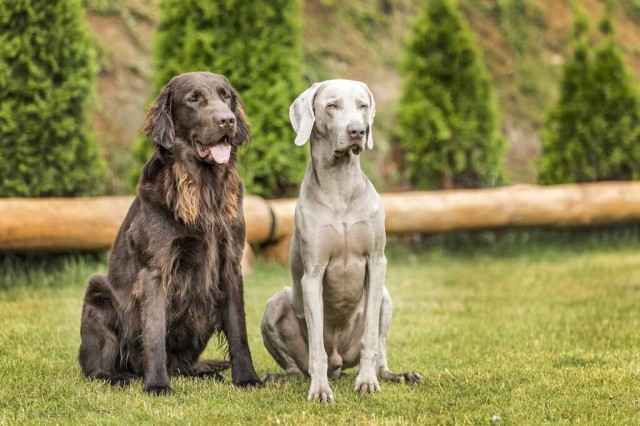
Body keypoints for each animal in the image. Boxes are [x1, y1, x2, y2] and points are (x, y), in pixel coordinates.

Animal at [78, 71, 262, 394]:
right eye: (194, 99)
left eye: (226, 96)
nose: (227, 121)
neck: (203, 190)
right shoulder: (156, 269)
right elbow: (154, 331)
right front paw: (155, 385)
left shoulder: (230, 263)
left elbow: (238, 330)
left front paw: (247, 378)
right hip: (97, 296)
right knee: (94, 369)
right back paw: (121, 377)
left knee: (182, 364)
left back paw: (199, 371)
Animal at [260, 80, 420, 402]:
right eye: (332, 105)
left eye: (363, 106)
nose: (357, 131)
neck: (340, 186)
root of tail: (339, 364)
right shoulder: (313, 273)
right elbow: (316, 350)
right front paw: (320, 390)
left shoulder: (377, 262)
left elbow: (370, 339)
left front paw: (367, 382)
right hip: (273, 306)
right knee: (298, 367)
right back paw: (281, 378)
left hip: (385, 299)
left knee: (379, 349)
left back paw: (397, 375)